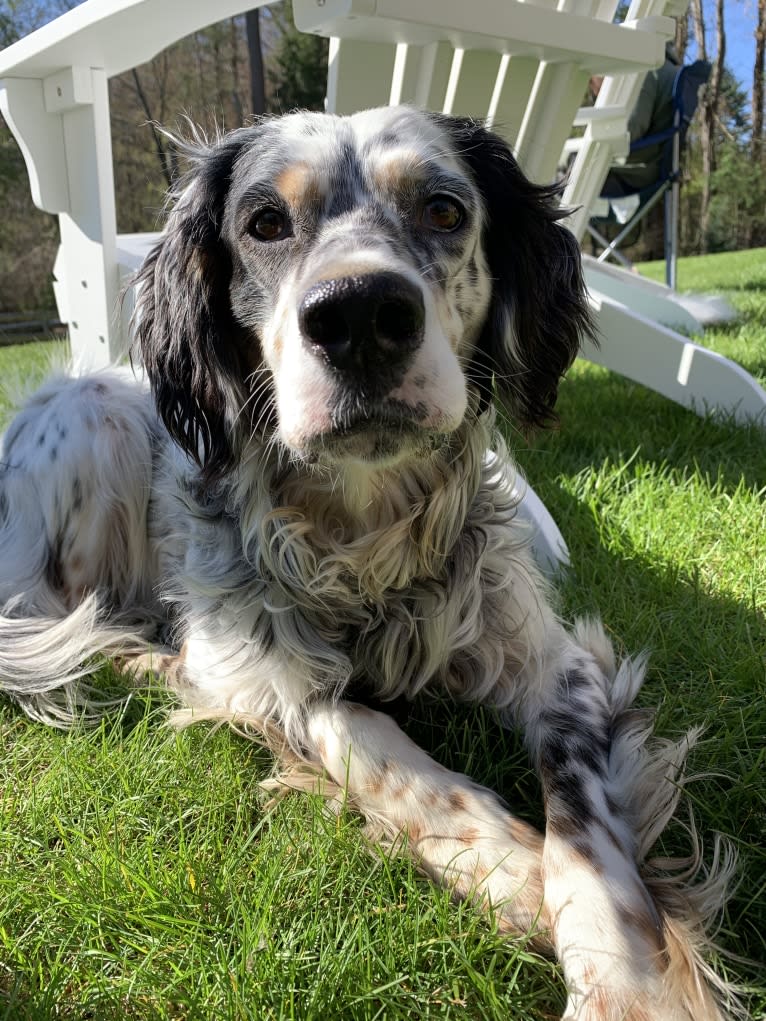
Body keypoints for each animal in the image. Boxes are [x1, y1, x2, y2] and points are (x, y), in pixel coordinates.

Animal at [0, 107, 739, 1016]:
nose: (358, 316)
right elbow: (372, 740)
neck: (360, 531)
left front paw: (629, 979)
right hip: (90, 414)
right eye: (264, 223)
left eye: (445, 210)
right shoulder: (270, 671)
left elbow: (585, 829)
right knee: (84, 623)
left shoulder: (558, 664)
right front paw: (511, 867)